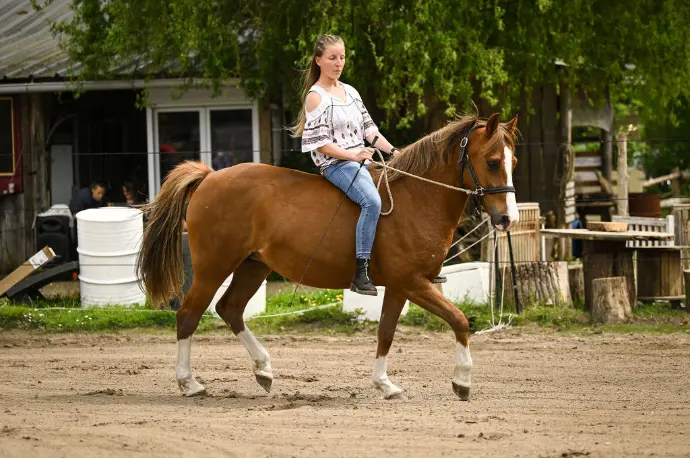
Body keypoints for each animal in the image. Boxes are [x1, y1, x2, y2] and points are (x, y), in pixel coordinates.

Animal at [136, 112, 519, 400]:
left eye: (513, 161)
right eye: (492, 162)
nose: (507, 219)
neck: (416, 198)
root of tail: (210, 177)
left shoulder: (401, 287)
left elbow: (386, 332)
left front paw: (385, 385)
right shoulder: (414, 283)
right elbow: (459, 320)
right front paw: (462, 381)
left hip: (252, 267)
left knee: (229, 309)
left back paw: (264, 370)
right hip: (213, 268)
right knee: (188, 315)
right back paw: (189, 383)